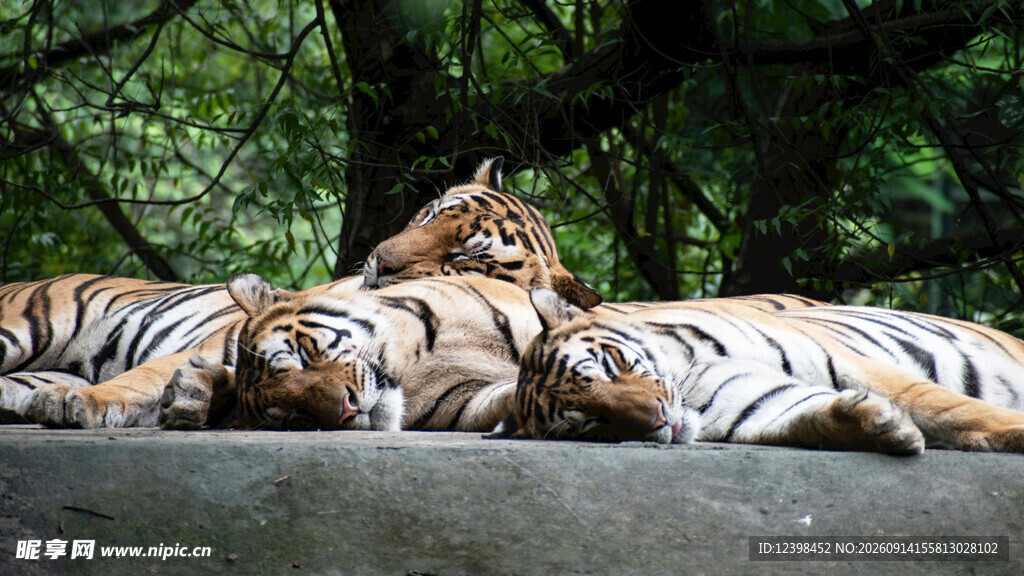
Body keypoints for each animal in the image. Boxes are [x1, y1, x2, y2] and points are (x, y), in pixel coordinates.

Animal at [488, 288, 1024, 453]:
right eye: (592, 424)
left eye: (609, 366)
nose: (658, 418)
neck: (690, 381)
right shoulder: (753, 403)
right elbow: (807, 417)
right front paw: (880, 426)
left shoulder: (855, 364)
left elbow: (955, 409)